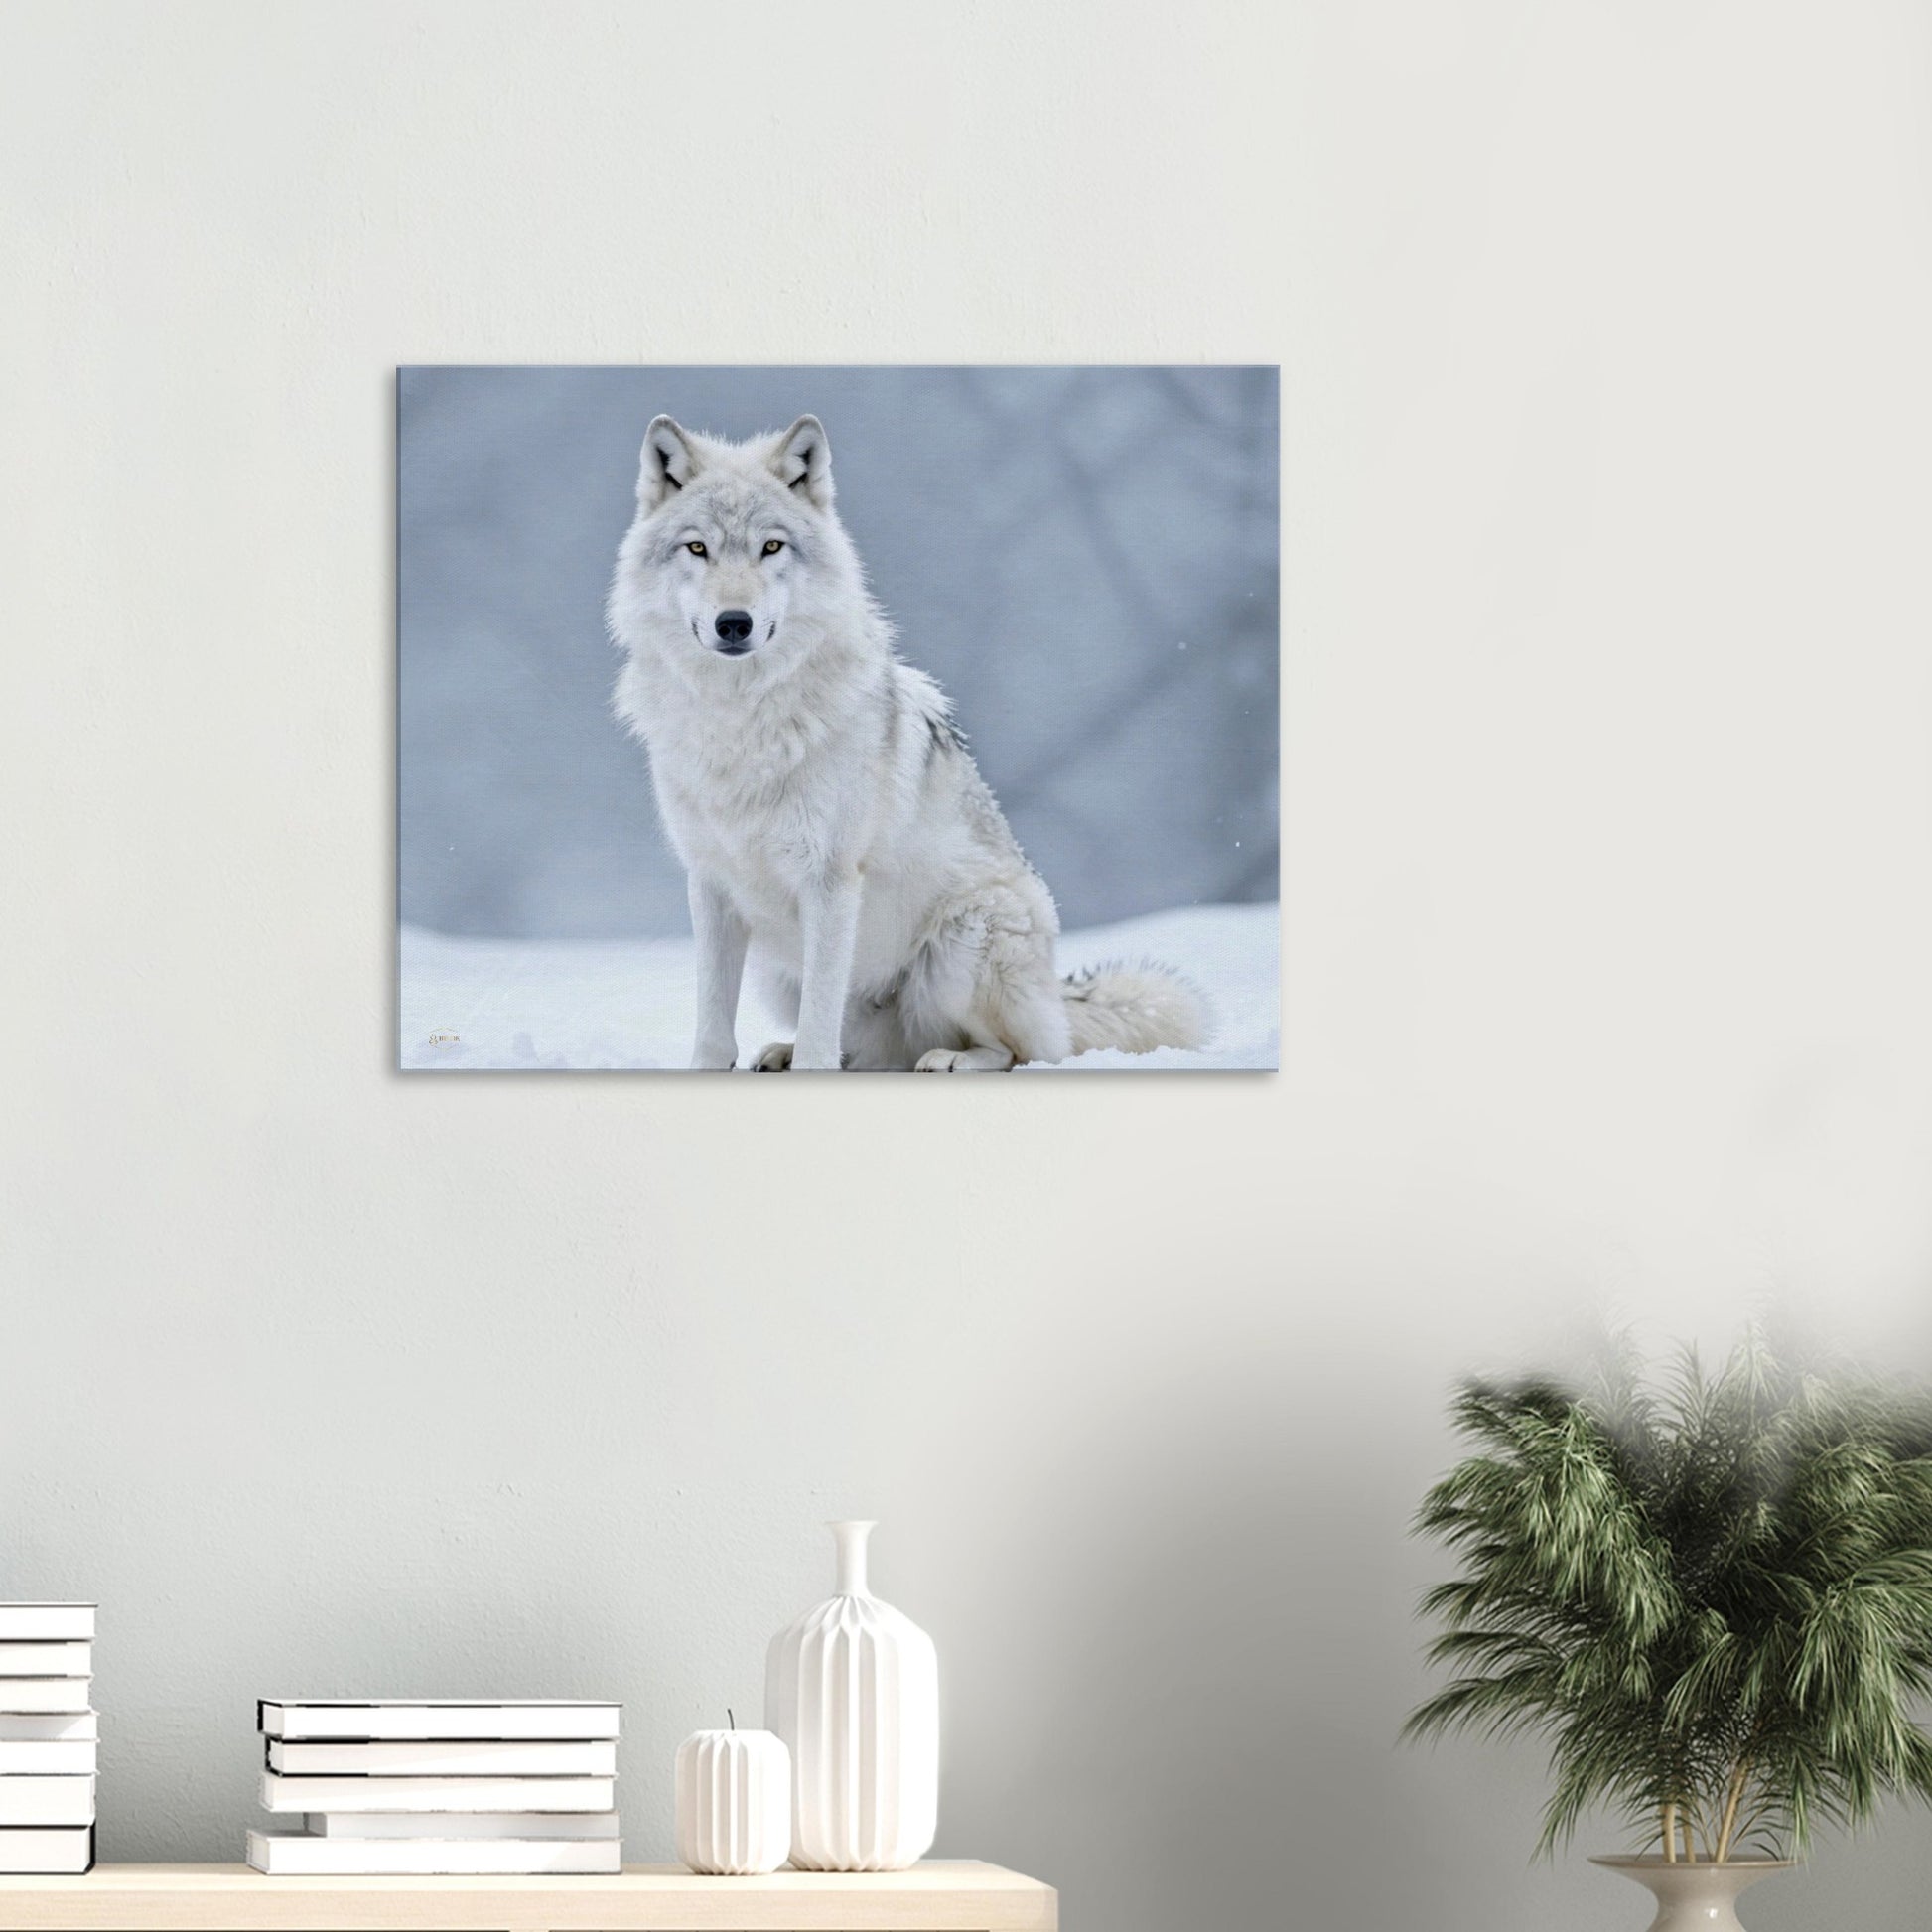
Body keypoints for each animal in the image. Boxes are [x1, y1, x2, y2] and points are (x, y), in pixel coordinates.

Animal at [606, 413, 1205, 1071]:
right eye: (697, 548)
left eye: (771, 547)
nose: (733, 623)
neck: (741, 719)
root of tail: (1058, 992)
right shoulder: (710, 882)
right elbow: (715, 1022)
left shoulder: (832, 880)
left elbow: (821, 1018)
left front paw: (810, 1067)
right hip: (777, 969)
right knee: (857, 1048)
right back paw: (789, 1053)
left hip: (962, 944)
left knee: (1021, 1052)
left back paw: (950, 1060)